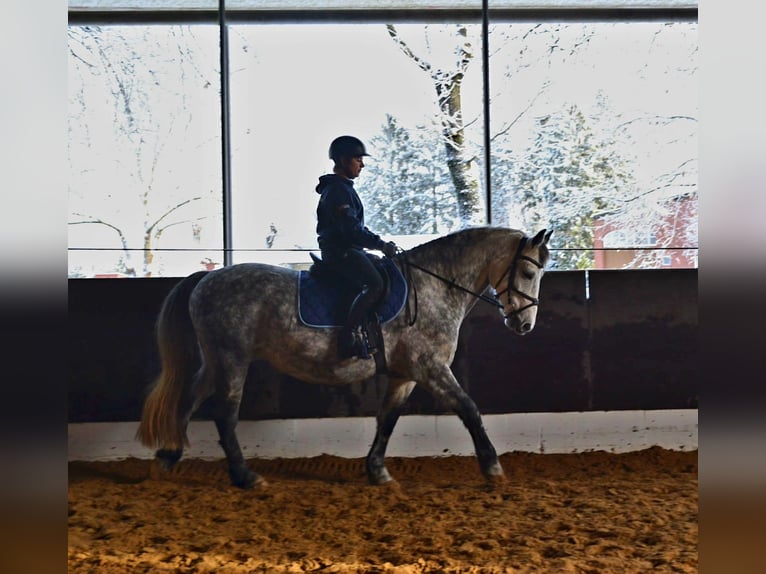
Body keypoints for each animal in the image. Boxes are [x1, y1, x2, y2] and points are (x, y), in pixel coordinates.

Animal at [136, 226, 552, 488]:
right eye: (528, 271)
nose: (525, 325)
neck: (433, 286)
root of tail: (206, 279)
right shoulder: (430, 368)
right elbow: (469, 409)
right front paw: (493, 468)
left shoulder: (405, 374)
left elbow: (387, 420)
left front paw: (377, 472)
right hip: (232, 359)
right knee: (224, 415)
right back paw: (245, 477)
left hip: (216, 361)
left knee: (190, 400)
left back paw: (167, 458)